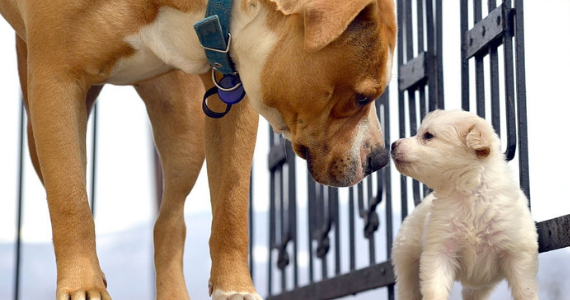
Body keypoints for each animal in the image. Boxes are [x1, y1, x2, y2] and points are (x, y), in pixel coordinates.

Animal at [0, 0, 394, 298]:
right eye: (362, 97)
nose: (379, 158)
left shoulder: (233, 86)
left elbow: (232, 199)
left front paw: (234, 288)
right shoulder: (55, 82)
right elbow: (69, 199)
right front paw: (83, 285)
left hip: (182, 128)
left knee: (169, 221)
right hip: (40, 127)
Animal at [390, 110, 536, 300]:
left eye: (428, 136)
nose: (392, 144)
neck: (468, 194)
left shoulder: (518, 253)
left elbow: (525, 290)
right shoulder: (440, 250)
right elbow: (434, 289)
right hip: (406, 260)